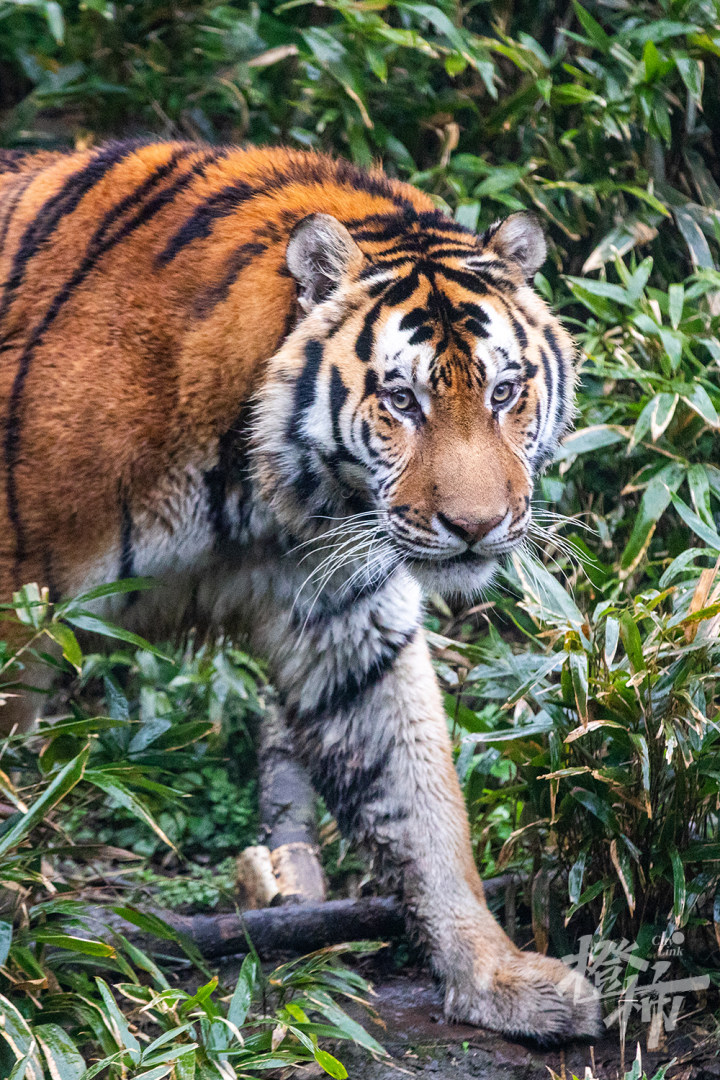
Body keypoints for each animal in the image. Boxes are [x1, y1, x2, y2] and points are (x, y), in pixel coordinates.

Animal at [0, 143, 600, 1045]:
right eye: (401, 400)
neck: (266, 487)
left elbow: (423, 805)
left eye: (503, 392)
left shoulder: (345, 618)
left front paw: (497, 975)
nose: (476, 526)